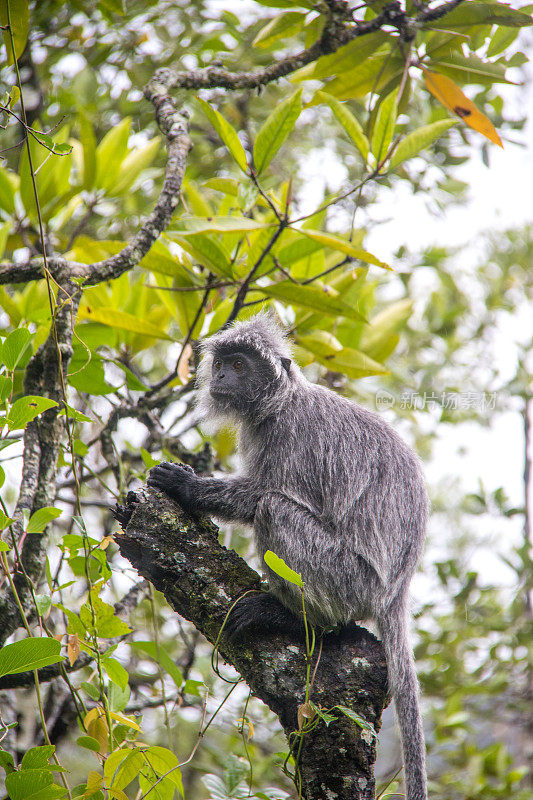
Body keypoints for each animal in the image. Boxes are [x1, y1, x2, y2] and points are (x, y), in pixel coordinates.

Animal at [147, 312, 428, 800]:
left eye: (240, 365)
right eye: (222, 362)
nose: (221, 377)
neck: (280, 403)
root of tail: (396, 592)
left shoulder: (290, 435)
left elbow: (260, 495)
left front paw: (188, 486)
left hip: (347, 576)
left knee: (274, 507)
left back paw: (296, 619)